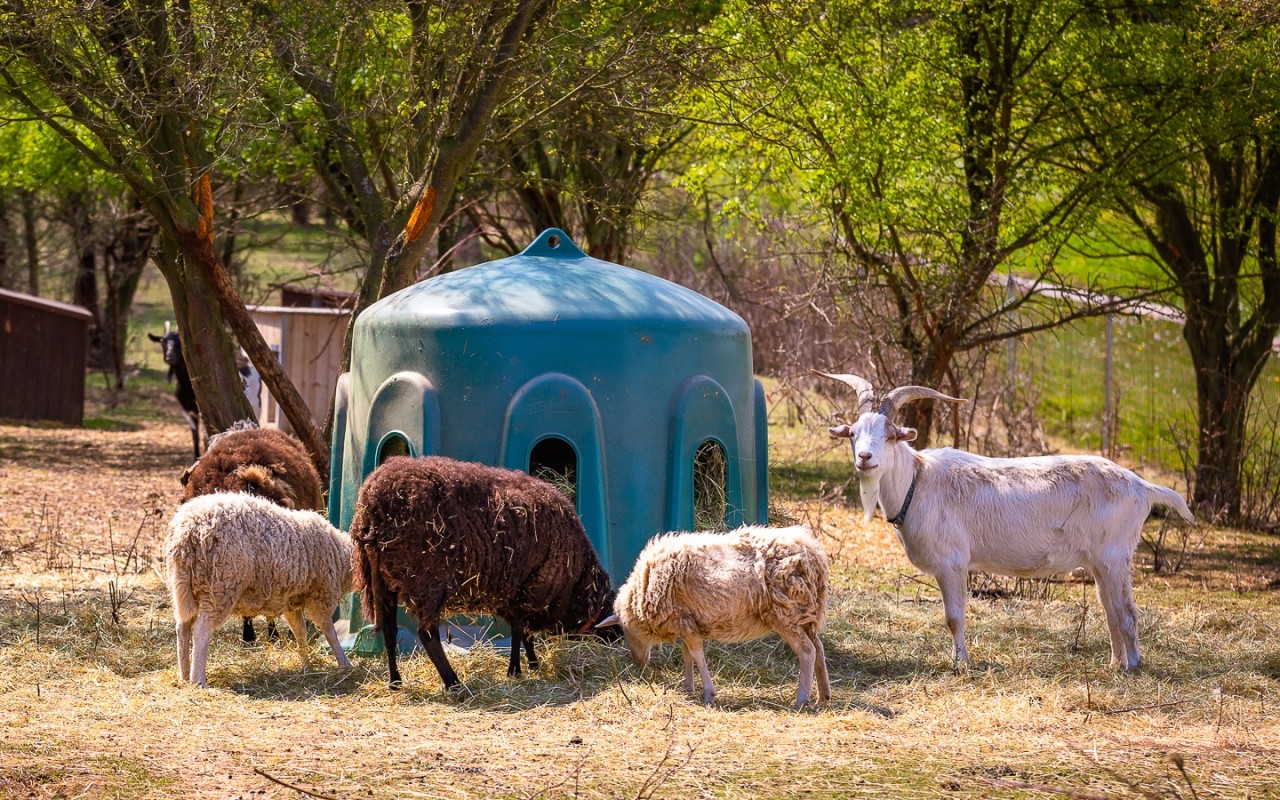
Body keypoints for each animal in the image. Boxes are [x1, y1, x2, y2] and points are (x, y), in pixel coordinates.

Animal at [167, 488, 355, 680]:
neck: (342, 556)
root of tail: (189, 531)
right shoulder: (322, 595)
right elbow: (329, 630)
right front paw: (344, 662)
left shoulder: (290, 601)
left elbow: (299, 631)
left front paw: (307, 661)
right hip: (219, 588)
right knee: (201, 630)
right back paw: (197, 679)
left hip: (184, 588)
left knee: (182, 628)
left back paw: (184, 675)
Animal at [348, 455, 611, 691]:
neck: (577, 580)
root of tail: (373, 509)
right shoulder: (529, 590)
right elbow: (520, 632)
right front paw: (517, 670)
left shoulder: (513, 595)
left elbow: (522, 633)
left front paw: (531, 665)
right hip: (426, 581)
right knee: (427, 635)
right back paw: (454, 684)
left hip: (382, 582)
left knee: (390, 632)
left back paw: (395, 682)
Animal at [596, 524, 829, 706]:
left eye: (625, 631)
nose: (638, 664)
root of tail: (813, 553)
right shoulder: (687, 622)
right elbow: (687, 654)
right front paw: (689, 687)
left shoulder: (681, 619)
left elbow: (696, 653)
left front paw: (708, 693)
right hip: (805, 613)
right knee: (818, 648)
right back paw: (823, 696)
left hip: (786, 613)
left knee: (807, 651)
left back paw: (802, 699)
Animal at [814, 371, 1192, 670]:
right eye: (853, 434)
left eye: (890, 435)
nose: (865, 457)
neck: (918, 482)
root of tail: (1142, 485)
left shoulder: (952, 563)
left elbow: (954, 617)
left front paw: (960, 663)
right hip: (1100, 564)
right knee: (1111, 609)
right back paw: (1114, 664)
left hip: (1115, 557)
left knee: (1126, 611)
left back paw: (1132, 666)